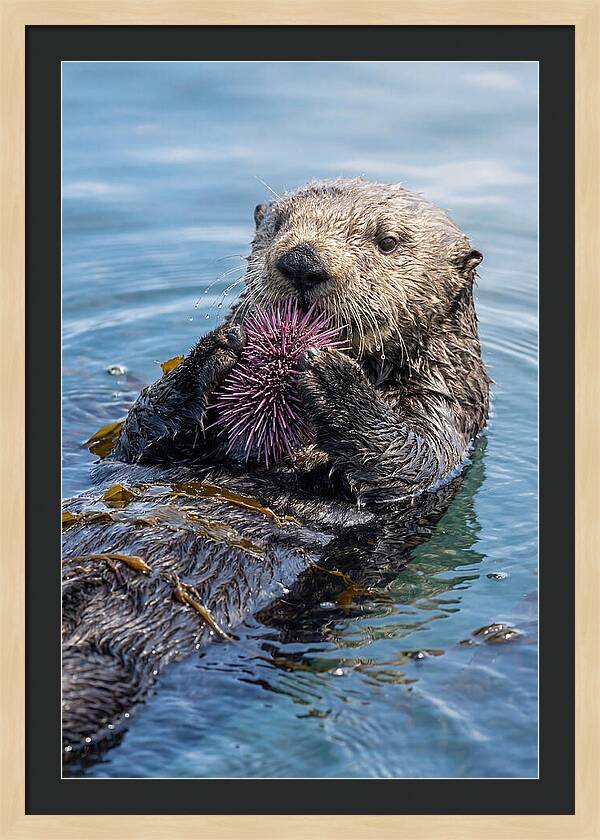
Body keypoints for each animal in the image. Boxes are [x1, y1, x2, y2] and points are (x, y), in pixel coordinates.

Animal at [62, 178, 489, 765]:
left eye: (387, 242)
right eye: (280, 224)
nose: (302, 262)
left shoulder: (448, 412)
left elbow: (410, 460)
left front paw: (334, 378)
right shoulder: (144, 447)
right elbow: (139, 435)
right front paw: (215, 349)